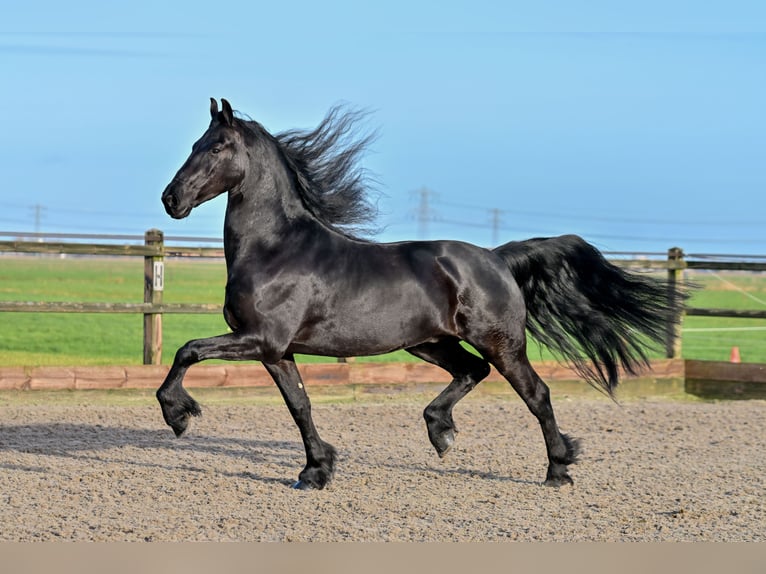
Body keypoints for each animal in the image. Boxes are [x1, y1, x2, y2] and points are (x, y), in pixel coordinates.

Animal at [158, 98, 684, 489]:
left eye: (217, 147)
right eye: (195, 143)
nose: (171, 199)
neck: (276, 248)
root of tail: (497, 257)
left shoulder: (259, 339)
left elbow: (188, 351)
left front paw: (179, 415)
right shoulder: (277, 350)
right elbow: (299, 406)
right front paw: (316, 470)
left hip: (501, 343)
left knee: (535, 393)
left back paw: (557, 469)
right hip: (430, 343)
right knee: (472, 371)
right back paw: (440, 432)